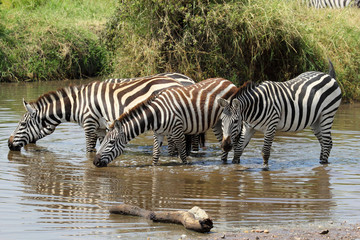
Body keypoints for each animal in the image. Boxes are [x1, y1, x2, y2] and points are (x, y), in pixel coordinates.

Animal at [7, 76, 193, 153]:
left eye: (22, 124)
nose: (8, 144)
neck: (78, 104)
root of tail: (178, 82)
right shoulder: (101, 128)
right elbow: (102, 145)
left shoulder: (89, 124)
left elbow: (89, 150)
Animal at [94, 78, 238, 167]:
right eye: (103, 140)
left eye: (111, 142)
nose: (95, 162)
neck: (156, 114)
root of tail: (227, 80)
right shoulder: (158, 133)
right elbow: (155, 155)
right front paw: (154, 168)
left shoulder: (177, 131)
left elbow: (182, 154)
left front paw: (185, 167)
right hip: (218, 123)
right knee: (223, 143)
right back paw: (223, 163)